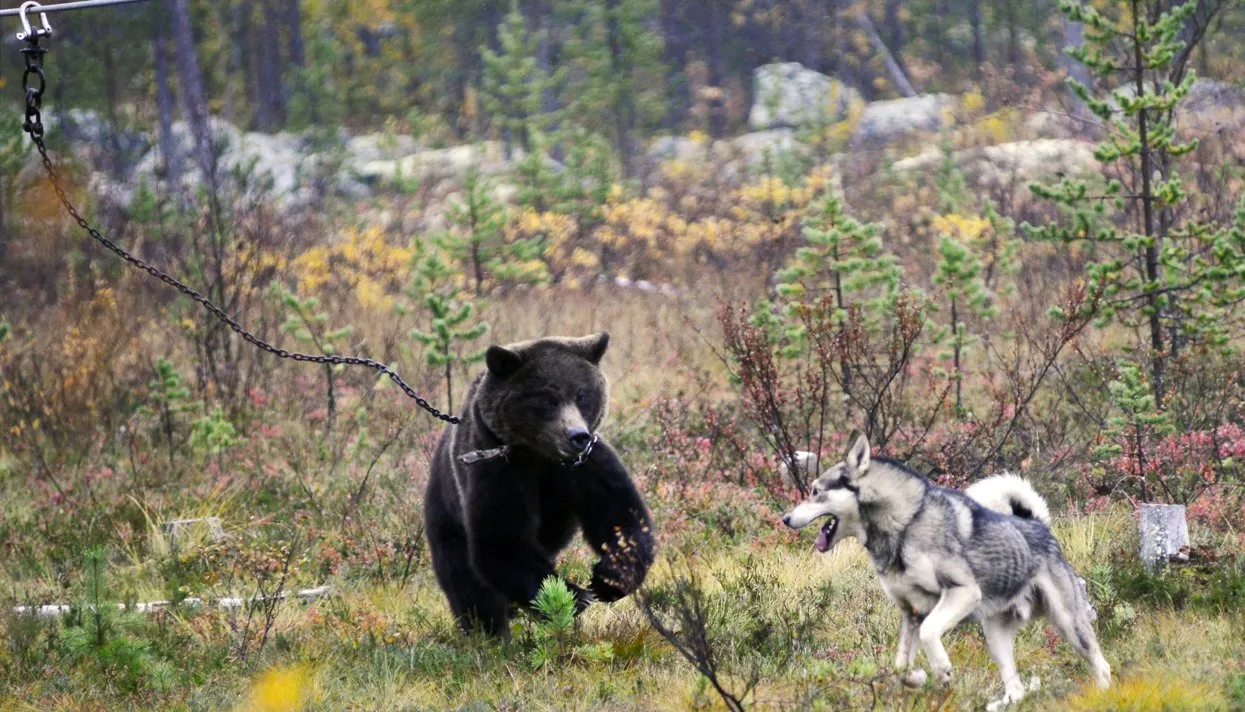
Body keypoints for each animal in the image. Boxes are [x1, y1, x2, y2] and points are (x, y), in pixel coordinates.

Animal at [420, 331, 652, 637]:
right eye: (548, 398)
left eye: (582, 395)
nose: (577, 435)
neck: (540, 455)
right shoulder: (499, 469)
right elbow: (502, 541)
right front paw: (574, 595)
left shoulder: (585, 467)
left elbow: (621, 517)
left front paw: (607, 579)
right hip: (445, 514)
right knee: (467, 583)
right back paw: (487, 632)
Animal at [776, 430, 1110, 707]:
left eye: (816, 491)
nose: (785, 519)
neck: (904, 524)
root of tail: (1038, 525)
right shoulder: (911, 613)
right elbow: (900, 667)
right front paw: (920, 678)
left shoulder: (960, 593)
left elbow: (929, 633)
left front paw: (941, 670)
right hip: (995, 636)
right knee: (1016, 689)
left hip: (1068, 623)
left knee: (1101, 665)